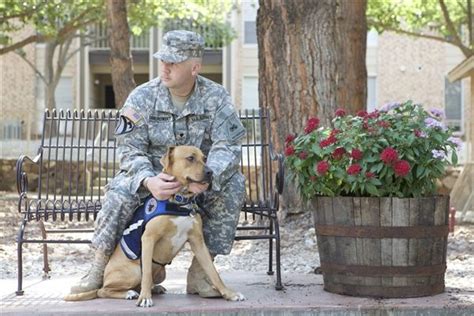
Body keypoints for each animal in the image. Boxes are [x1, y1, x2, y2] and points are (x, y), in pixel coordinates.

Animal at [64, 146, 244, 306]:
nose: (210, 172)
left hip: (161, 272)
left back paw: (153, 289)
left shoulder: (198, 242)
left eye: (205, 158)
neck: (179, 201)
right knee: (104, 290)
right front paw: (144, 298)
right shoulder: (148, 238)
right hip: (133, 271)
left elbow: (213, 272)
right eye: (190, 158)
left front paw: (229, 293)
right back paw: (130, 293)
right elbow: (147, 274)